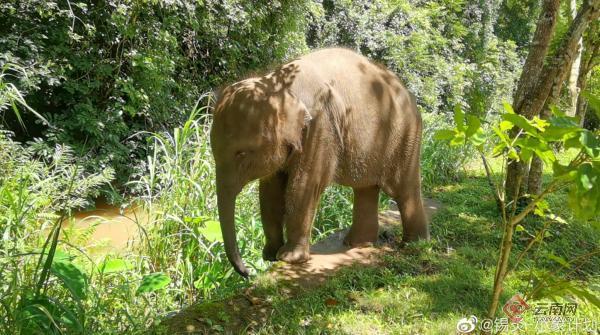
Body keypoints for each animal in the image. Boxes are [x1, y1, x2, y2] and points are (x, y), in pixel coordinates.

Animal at [210, 48, 426, 278]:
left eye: (241, 153)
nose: (247, 272)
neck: (279, 84)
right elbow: (270, 190)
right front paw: (270, 255)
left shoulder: (321, 128)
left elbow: (304, 185)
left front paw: (288, 258)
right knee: (365, 188)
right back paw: (357, 244)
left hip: (405, 137)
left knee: (403, 190)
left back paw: (414, 244)